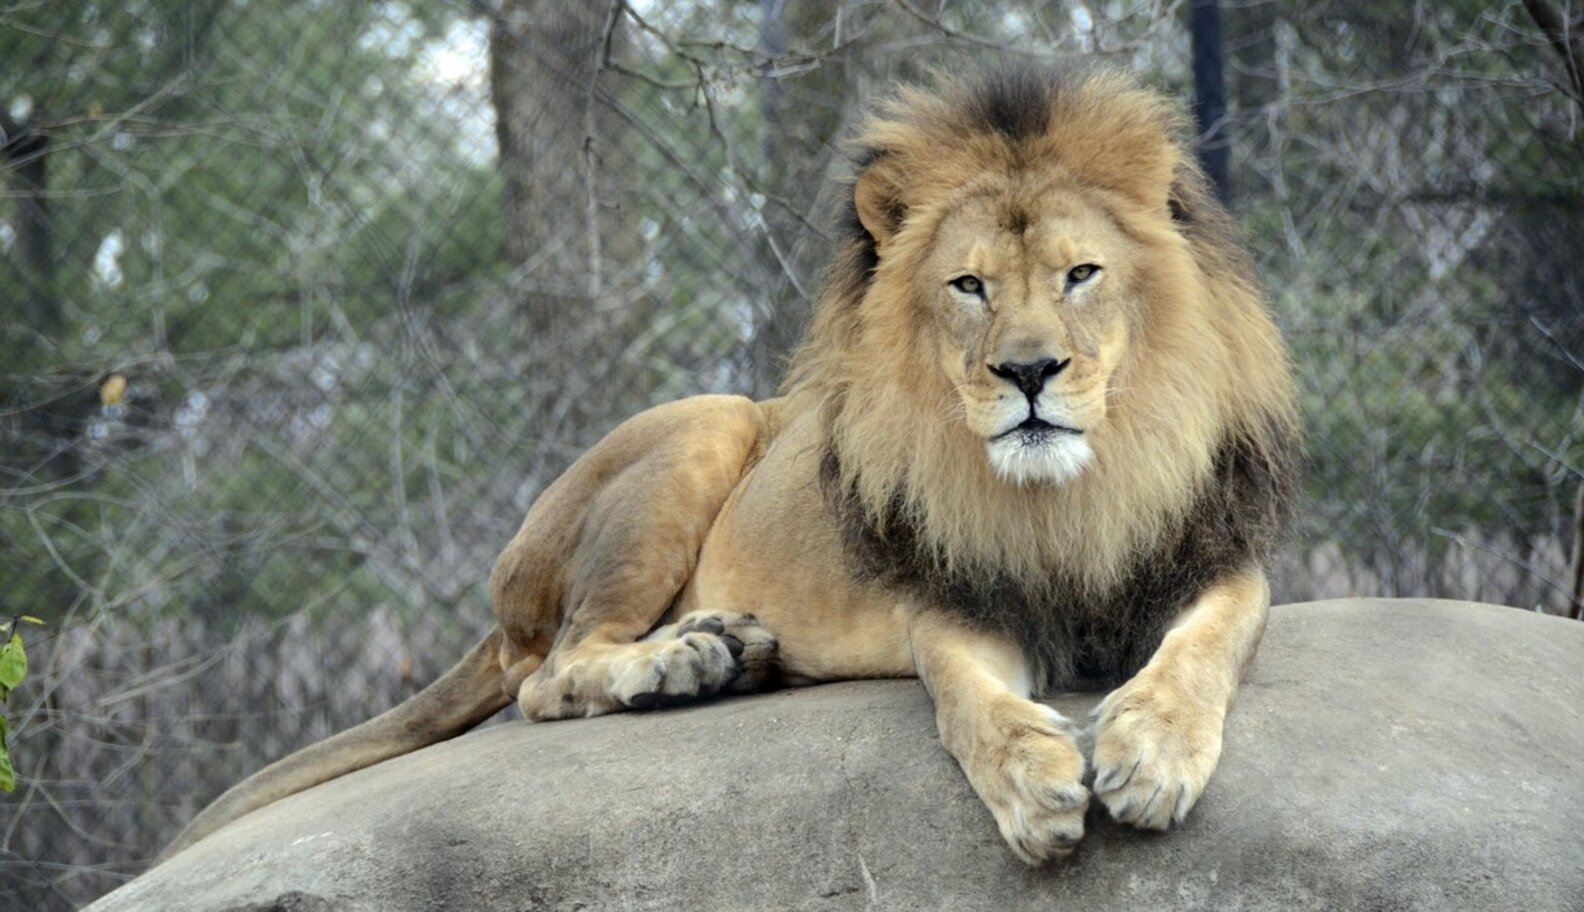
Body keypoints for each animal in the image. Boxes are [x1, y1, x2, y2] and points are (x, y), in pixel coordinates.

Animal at [163, 65, 1300, 866]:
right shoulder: (952, 600)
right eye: (969, 285)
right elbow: (968, 701)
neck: (1073, 495)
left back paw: (727, 647)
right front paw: (1033, 784)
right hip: (701, 426)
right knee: (553, 673)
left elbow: (1205, 647)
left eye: (1080, 274)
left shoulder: (1216, 555)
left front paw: (1150, 753)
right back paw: (683, 661)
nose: (1027, 371)